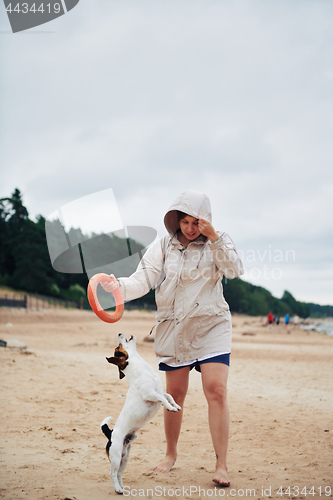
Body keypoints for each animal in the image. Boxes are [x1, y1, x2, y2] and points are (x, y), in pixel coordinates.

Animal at [100, 334, 180, 494]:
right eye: (118, 347)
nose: (119, 333)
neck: (143, 370)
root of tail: (110, 434)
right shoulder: (150, 394)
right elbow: (164, 399)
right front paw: (170, 408)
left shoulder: (160, 392)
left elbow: (169, 396)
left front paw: (176, 405)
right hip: (116, 456)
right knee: (112, 473)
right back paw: (117, 489)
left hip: (125, 458)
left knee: (119, 473)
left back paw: (122, 487)